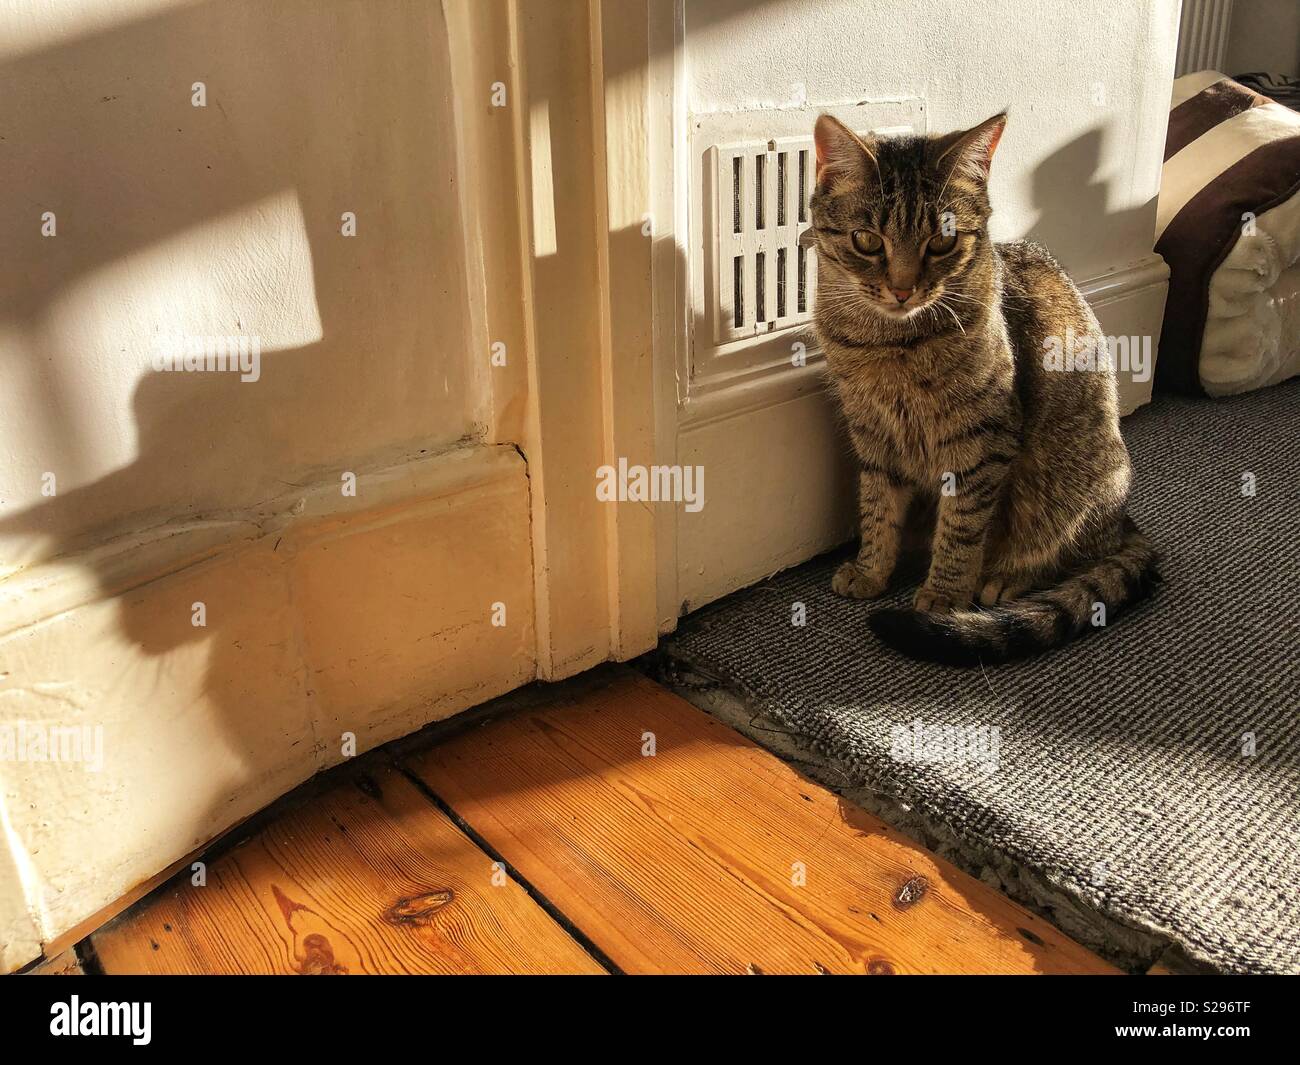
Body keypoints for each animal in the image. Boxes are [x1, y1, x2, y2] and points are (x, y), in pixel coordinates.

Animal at [811, 114, 1159, 665]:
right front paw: (870, 570)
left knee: (1076, 556)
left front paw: (945, 595)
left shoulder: (983, 440)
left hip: (1066, 490)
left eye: (941, 242)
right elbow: (877, 507)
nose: (903, 289)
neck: (890, 343)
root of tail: (1126, 520)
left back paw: (1007, 579)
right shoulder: (871, 431)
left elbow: (963, 526)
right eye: (866, 240)